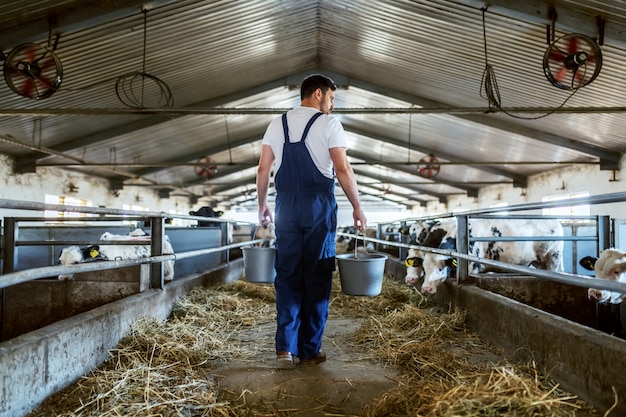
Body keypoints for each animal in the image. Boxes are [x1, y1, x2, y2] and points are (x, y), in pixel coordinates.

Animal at [410, 216, 564, 294]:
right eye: (424, 268)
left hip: (553, 257)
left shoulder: (472, 267)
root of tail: (556, 222)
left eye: (440, 268)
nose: (426, 289)